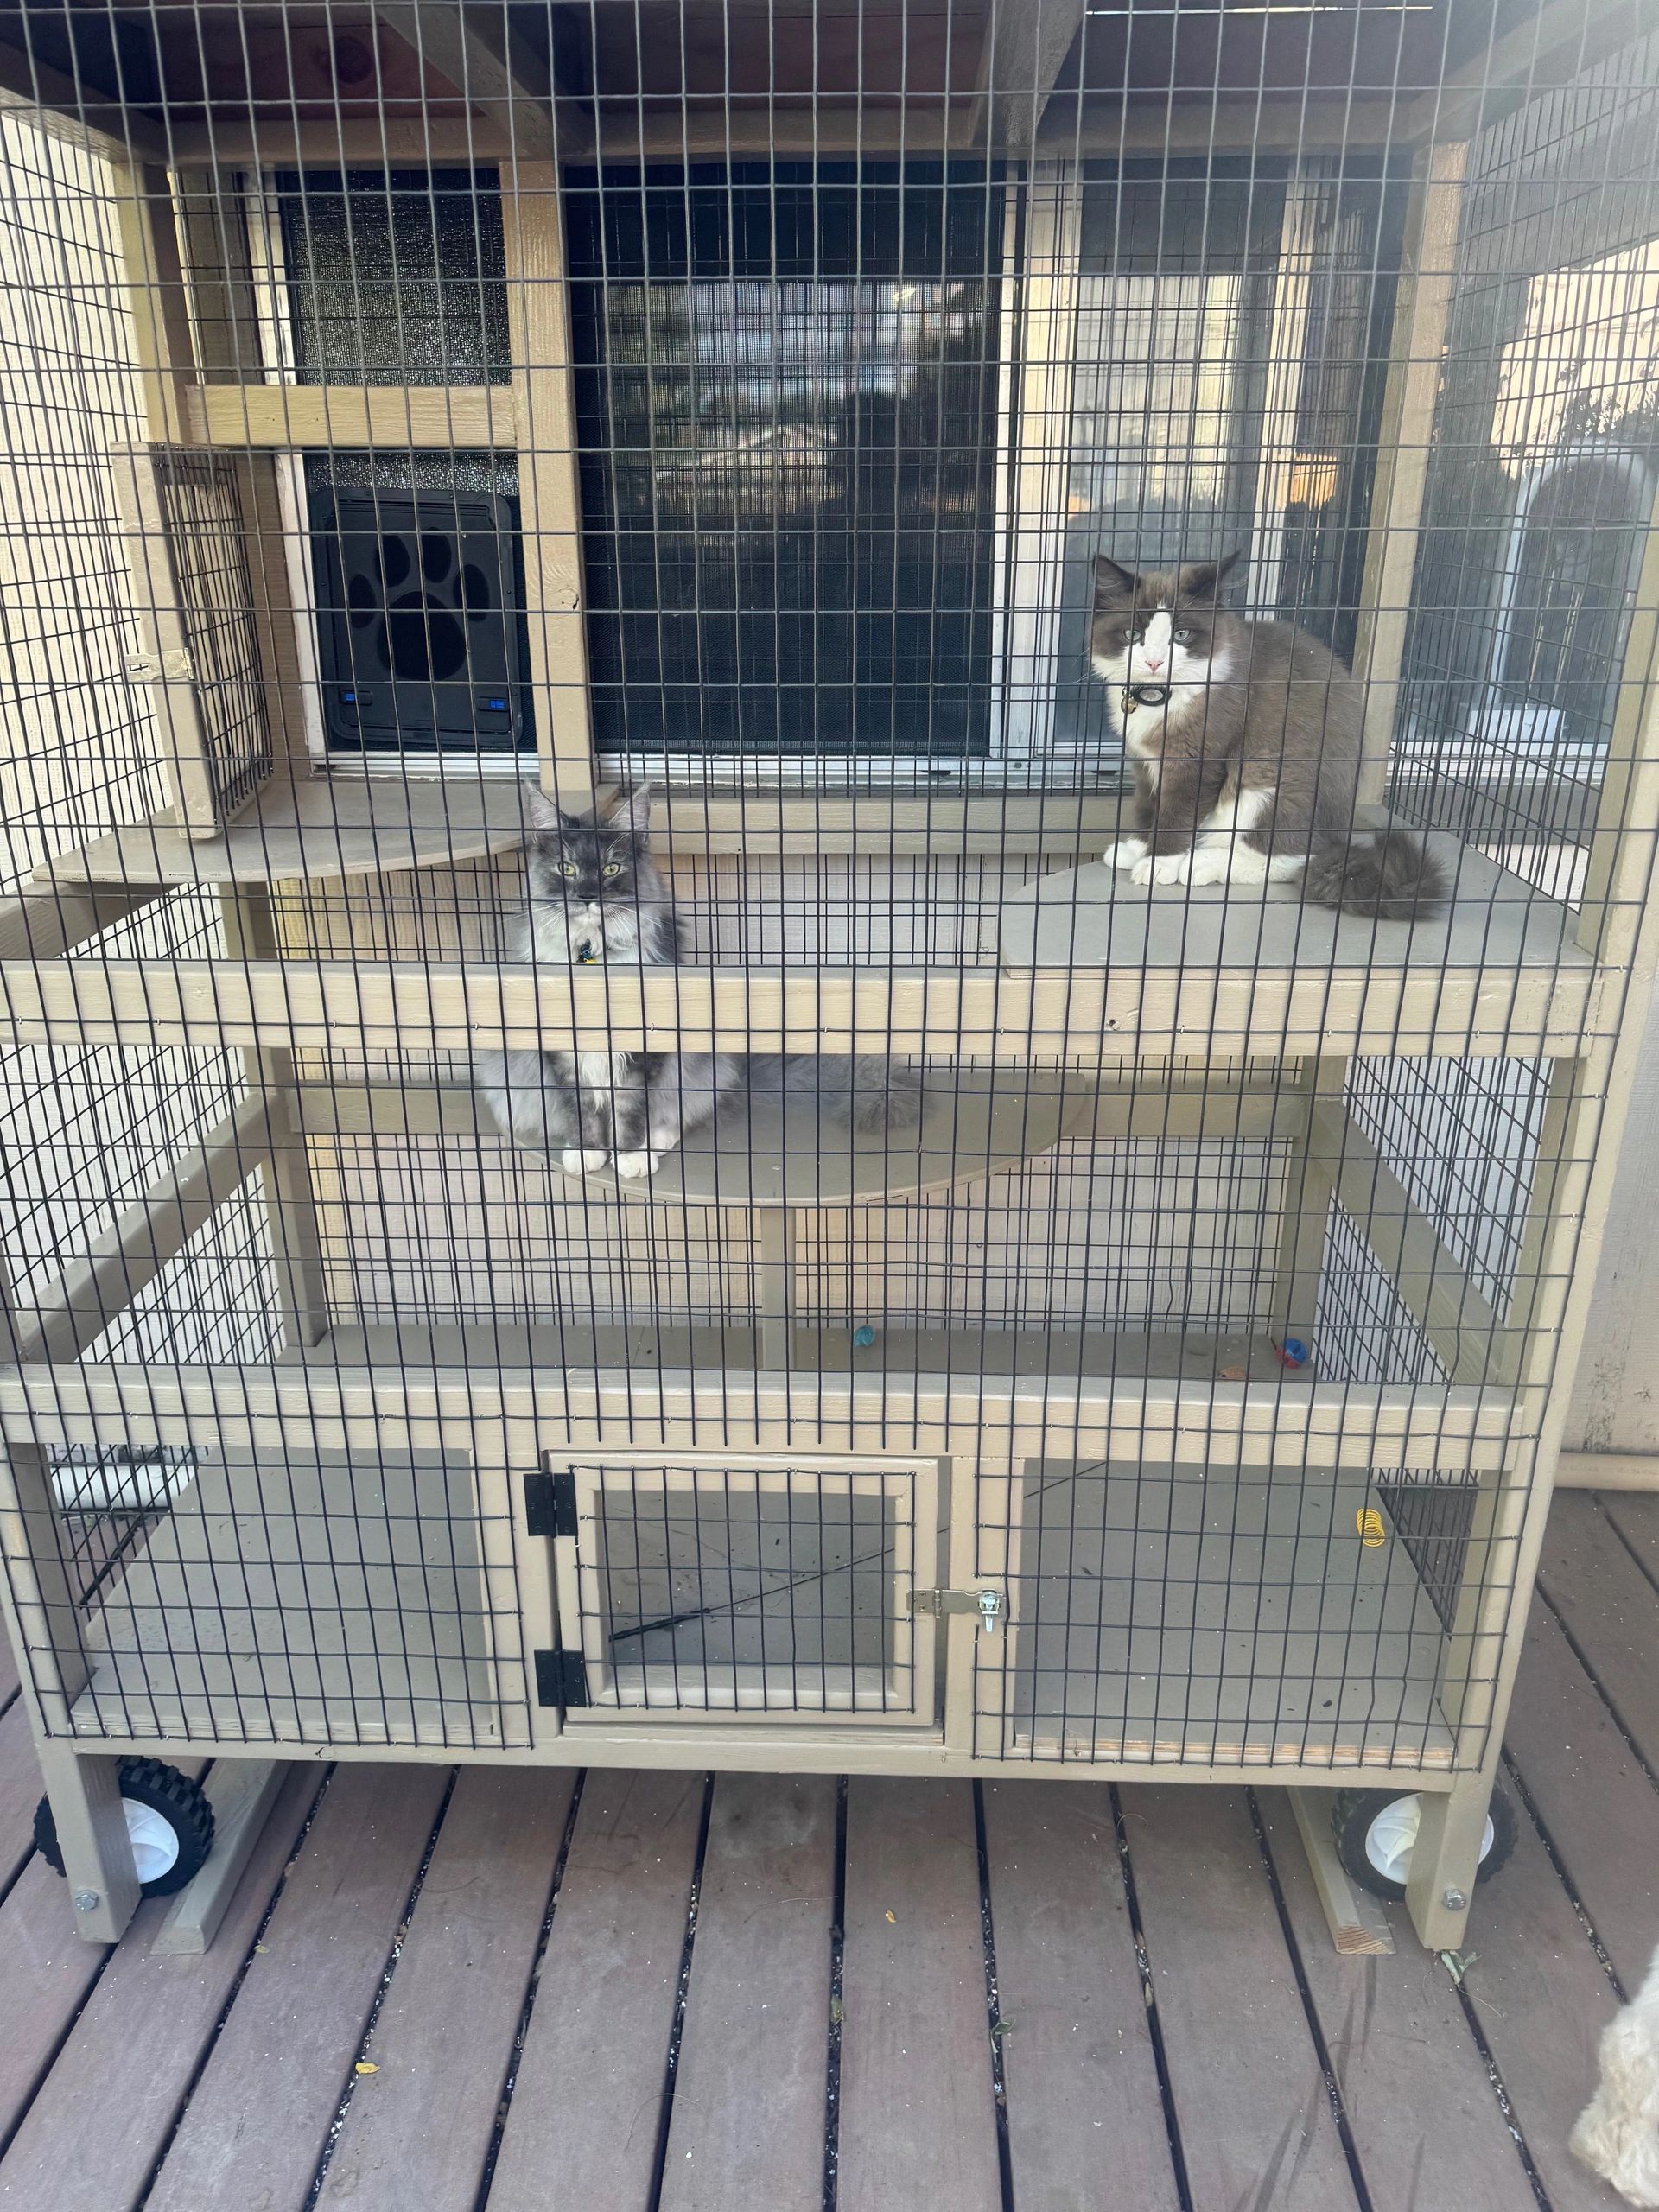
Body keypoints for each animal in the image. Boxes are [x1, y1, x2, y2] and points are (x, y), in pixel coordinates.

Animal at [477, 791, 925, 1185]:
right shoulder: (559, 1051)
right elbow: (579, 1108)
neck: (594, 960)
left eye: (610, 870)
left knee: (682, 1110)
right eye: (566, 869)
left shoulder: (644, 1049)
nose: (587, 895)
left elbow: (631, 1107)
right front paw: (587, 1151)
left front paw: (631, 1156)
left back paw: (657, 1140)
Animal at [1092, 562, 1442, 933]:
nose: (1155, 662)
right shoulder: (1145, 761)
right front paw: (1139, 848)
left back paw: (1201, 863)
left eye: (1181, 635)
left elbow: (1175, 814)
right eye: (1133, 635)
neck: (1158, 698)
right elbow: (1149, 807)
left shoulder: (1195, 761)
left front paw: (1160, 862)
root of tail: (1338, 834)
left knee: (1295, 857)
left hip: (1267, 783)